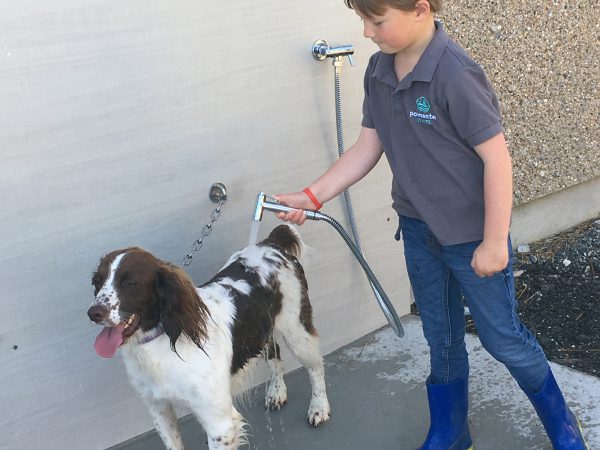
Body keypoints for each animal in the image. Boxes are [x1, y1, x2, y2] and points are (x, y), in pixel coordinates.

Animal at [86, 225, 330, 450]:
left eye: (130, 283)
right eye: (96, 281)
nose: (93, 313)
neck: (159, 343)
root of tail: (271, 244)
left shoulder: (220, 424)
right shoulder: (160, 411)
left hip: (297, 333)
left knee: (316, 367)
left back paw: (319, 407)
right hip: (263, 330)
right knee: (275, 356)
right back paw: (277, 392)